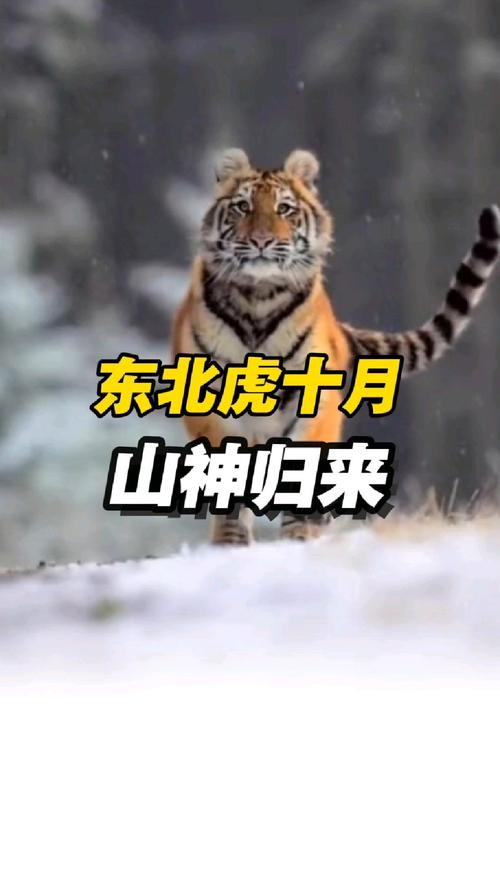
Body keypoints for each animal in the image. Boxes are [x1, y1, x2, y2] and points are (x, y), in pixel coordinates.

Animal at [173, 147, 500, 545]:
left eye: (284, 208)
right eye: (242, 207)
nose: (262, 241)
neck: (259, 297)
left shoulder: (312, 398)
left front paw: (300, 535)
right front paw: (230, 543)